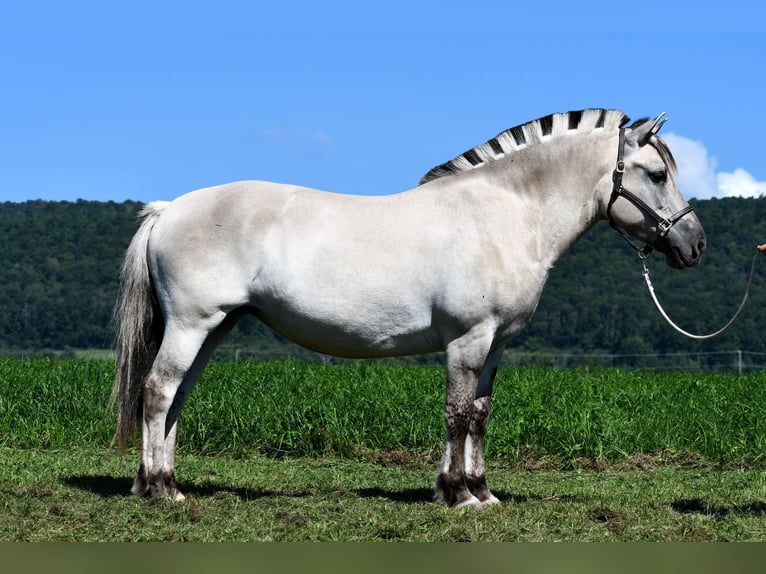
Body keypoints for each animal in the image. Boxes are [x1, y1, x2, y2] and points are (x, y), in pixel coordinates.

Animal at [112, 110, 708, 510]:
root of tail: (169, 209)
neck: (506, 215)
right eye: (657, 174)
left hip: (215, 328)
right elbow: (457, 412)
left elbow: (479, 415)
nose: (695, 244)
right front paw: (460, 496)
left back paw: (162, 482)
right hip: (192, 325)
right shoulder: (468, 339)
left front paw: (479, 492)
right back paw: (160, 490)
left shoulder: (494, 346)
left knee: (176, 397)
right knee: (158, 391)